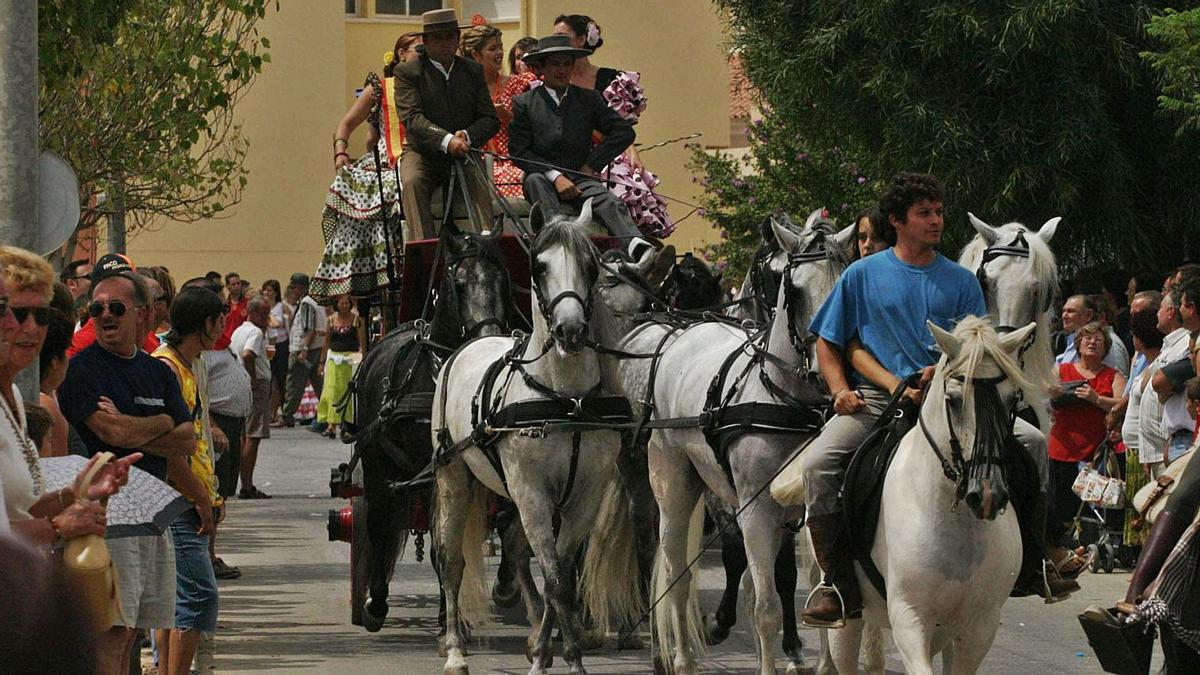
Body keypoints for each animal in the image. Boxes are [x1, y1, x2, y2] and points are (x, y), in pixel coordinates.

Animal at [432, 200, 638, 672]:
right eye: (539, 266)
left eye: (590, 265)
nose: (571, 331)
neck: (567, 398)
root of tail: (471, 344)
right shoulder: (532, 494)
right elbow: (556, 578)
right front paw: (568, 658)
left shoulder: (583, 497)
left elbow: (560, 575)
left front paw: (546, 653)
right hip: (453, 477)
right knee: (450, 560)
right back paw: (454, 650)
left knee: (513, 548)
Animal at [648, 216, 854, 672]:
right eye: (794, 291)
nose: (827, 369)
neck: (788, 399)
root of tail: (693, 328)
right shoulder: (756, 509)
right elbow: (766, 608)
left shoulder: (813, 506)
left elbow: (814, 591)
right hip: (676, 487)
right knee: (677, 576)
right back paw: (681, 659)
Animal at [825, 317, 1041, 672]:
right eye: (952, 399)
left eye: (1011, 400)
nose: (987, 495)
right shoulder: (910, 619)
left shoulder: (979, 627)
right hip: (848, 618)